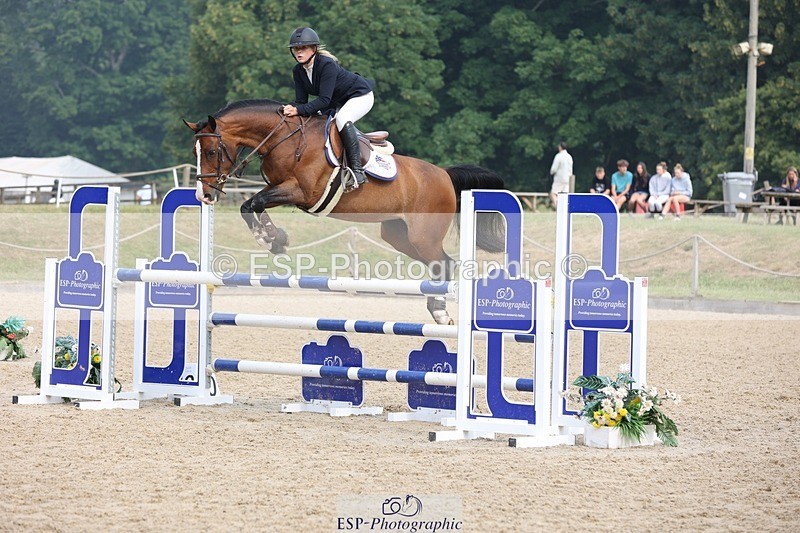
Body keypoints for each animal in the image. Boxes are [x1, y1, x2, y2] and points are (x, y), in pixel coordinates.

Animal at [184, 99, 505, 325]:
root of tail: (444, 175)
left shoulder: (301, 192)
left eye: (211, 152)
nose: (204, 195)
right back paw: (437, 309)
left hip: (423, 237)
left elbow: (254, 203)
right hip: (398, 235)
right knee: (439, 265)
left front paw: (272, 239)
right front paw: (274, 239)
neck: (284, 137)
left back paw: (439, 312)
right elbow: (250, 204)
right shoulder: (281, 189)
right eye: (195, 153)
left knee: (446, 264)